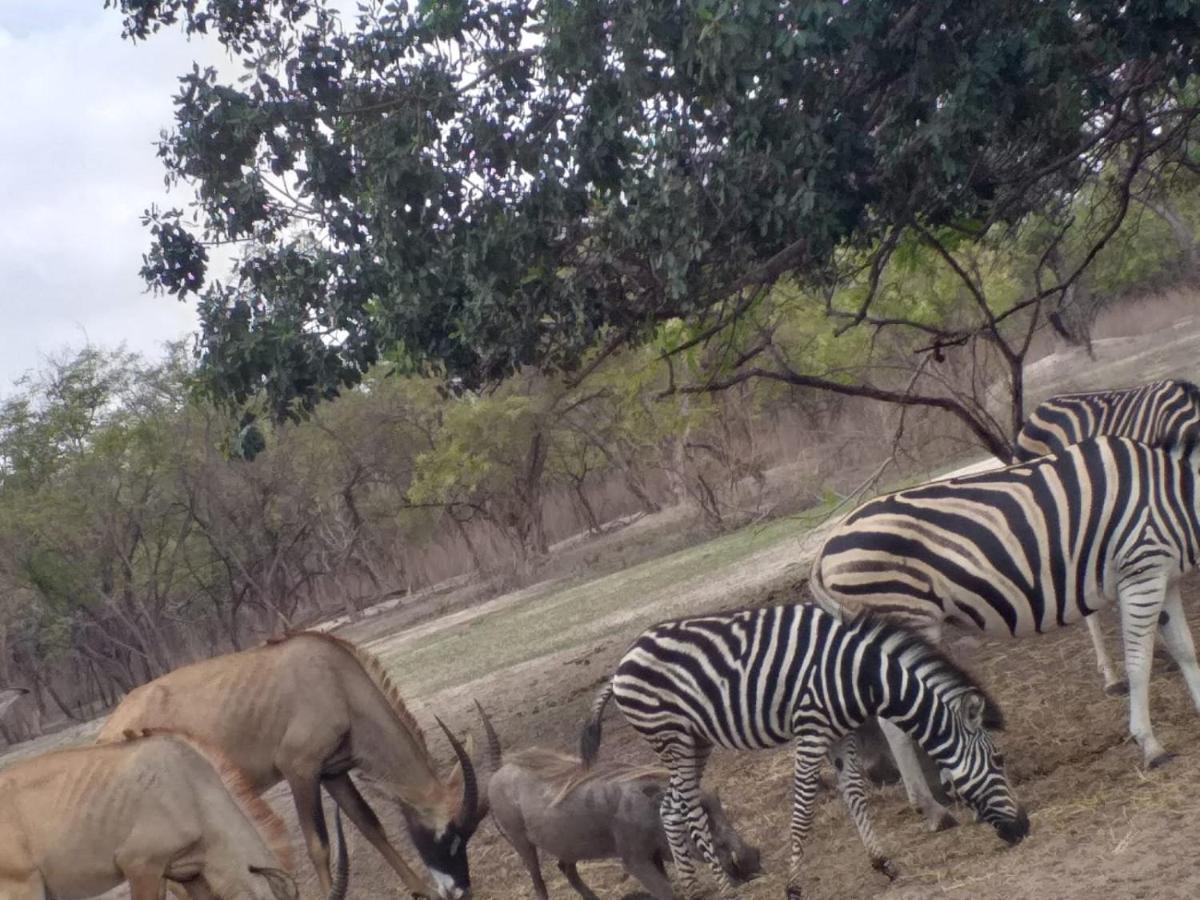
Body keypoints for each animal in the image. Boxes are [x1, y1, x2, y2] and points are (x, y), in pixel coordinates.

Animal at [96, 628, 484, 900]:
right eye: (450, 836)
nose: (460, 890)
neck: (338, 681)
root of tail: (109, 729)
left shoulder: (332, 771)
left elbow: (370, 825)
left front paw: (421, 888)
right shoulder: (300, 770)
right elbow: (319, 846)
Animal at [578, 602, 1022, 897]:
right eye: (998, 759)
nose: (1023, 829)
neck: (863, 676)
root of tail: (620, 665)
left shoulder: (841, 734)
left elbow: (854, 792)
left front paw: (883, 862)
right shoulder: (811, 730)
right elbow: (805, 805)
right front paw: (793, 885)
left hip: (694, 740)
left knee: (670, 807)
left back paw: (690, 888)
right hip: (674, 739)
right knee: (686, 807)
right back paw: (725, 888)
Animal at [811, 434, 1200, 835]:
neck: (1178, 494)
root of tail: (824, 552)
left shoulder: (1164, 578)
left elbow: (1185, 649)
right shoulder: (1141, 572)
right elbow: (1140, 664)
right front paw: (1150, 745)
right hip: (905, 615)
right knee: (895, 723)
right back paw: (934, 808)